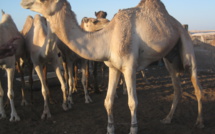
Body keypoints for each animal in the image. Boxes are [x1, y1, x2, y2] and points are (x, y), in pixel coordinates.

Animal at [21, 0, 205, 133]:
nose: (24, 2)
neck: (108, 38)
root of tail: (180, 25)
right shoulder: (113, 67)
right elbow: (108, 101)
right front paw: (110, 128)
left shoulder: (129, 67)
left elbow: (132, 102)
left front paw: (133, 129)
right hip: (170, 59)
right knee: (177, 88)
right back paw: (167, 119)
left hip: (186, 46)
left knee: (197, 87)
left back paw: (199, 122)